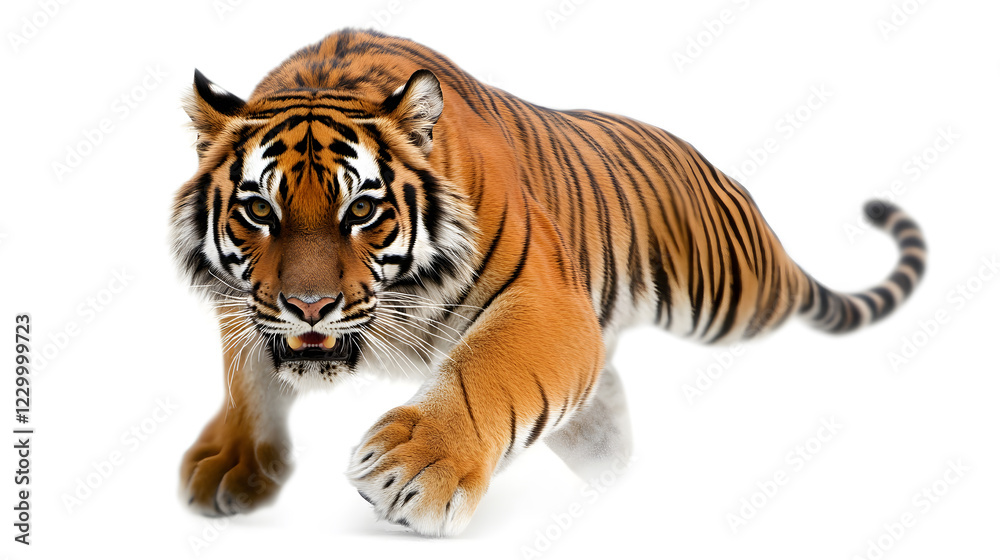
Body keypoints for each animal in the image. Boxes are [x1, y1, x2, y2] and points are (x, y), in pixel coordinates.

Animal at [171, 28, 926, 536]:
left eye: (361, 211)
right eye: (259, 210)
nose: (310, 306)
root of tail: (718, 172)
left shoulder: (544, 301)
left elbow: (485, 372)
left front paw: (416, 467)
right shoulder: (244, 306)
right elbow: (248, 377)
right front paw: (230, 465)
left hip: (736, 293)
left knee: (796, 291)